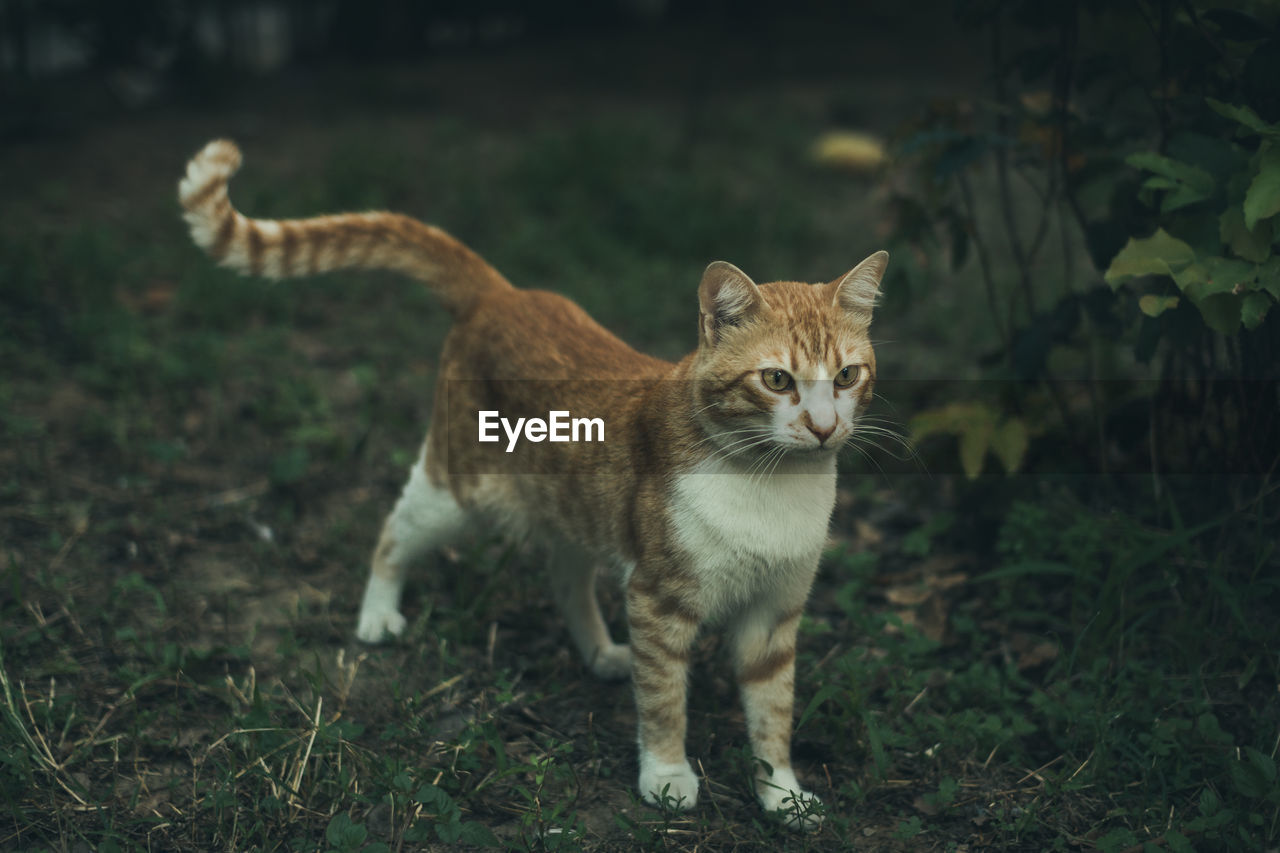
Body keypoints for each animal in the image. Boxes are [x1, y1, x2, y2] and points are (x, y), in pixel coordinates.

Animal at [177, 137, 890, 824]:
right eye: (777, 380)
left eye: (847, 376)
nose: (824, 427)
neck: (773, 485)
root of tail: (502, 293)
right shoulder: (658, 601)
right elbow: (664, 701)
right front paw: (666, 777)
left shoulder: (776, 613)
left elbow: (773, 716)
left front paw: (781, 796)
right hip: (456, 491)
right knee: (392, 532)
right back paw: (378, 615)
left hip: (573, 503)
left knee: (564, 575)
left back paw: (601, 653)